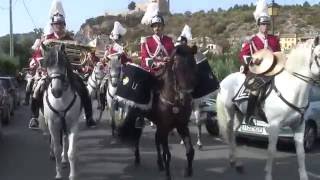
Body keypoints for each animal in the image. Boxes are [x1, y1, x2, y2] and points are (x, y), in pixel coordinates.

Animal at [42, 44, 83, 180]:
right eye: (47, 64)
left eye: (64, 63)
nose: (56, 91)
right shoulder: (53, 125)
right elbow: (56, 149)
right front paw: (58, 174)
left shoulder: (73, 125)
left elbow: (71, 152)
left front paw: (72, 175)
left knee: (65, 141)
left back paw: (64, 160)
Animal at [151, 44, 198, 180]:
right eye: (176, 68)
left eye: (194, 66)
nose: (186, 99)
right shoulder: (164, 127)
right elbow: (167, 154)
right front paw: (168, 175)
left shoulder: (182, 126)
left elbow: (190, 151)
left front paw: (189, 171)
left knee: (156, 139)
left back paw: (160, 164)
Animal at [216, 37, 320, 180]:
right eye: (318, 55)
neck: (292, 89)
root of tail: (224, 80)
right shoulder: (274, 126)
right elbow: (271, 151)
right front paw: (268, 175)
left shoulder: (299, 126)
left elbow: (301, 153)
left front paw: (304, 176)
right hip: (229, 113)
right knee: (229, 132)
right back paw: (234, 162)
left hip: (239, 115)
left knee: (233, 134)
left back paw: (236, 163)